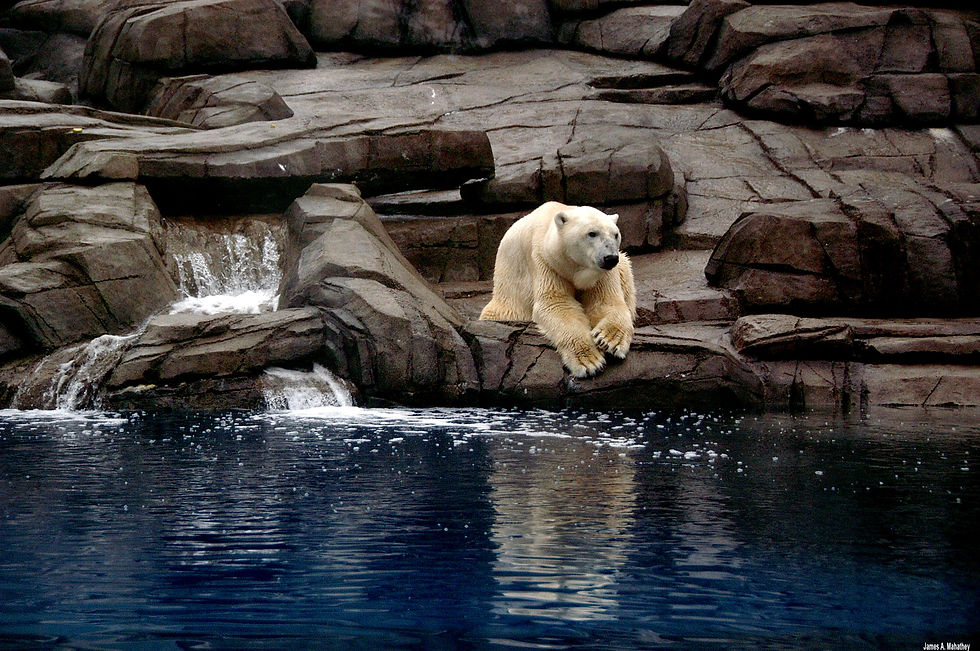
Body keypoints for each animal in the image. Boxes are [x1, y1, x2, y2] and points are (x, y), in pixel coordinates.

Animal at [480, 201, 636, 378]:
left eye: (616, 234)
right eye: (592, 233)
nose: (610, 258)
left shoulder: (600, 273)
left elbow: (606, 301)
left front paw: (609, 341)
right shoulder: (545, 261)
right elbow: (557, 304)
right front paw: (589, 362)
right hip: (507, 301)